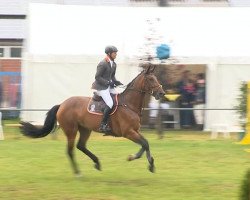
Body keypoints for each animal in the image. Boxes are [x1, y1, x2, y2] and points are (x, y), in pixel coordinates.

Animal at [20, 65, 165, 176]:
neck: (128, 104)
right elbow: (144, 144)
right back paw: (78, 172)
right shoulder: (128, 132)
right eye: (151, 79)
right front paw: (134, 158)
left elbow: (145, 144)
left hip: (85, 129)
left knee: (81, 146)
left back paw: (97, 162)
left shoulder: (135, 131)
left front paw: (150, 164)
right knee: (70, 150)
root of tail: (62, 104)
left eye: (156, 78)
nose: (161, 93)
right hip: (71, 130)